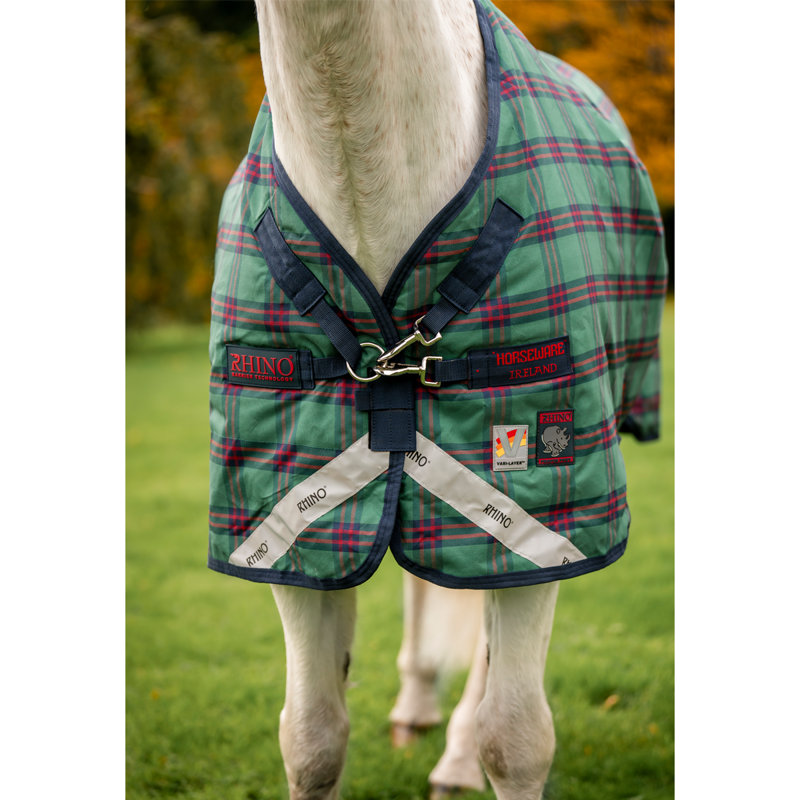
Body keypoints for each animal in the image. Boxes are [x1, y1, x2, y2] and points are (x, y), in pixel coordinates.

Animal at [208, 1, 667, 797]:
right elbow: (310, 738)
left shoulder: (545, 519)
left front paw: (471, 754)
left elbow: (514, 740)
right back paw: (416, 701)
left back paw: (451, 757)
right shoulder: (285, 528)